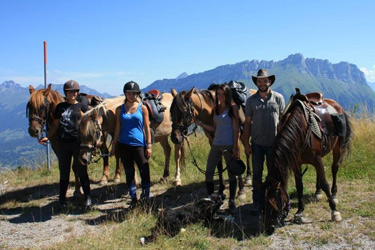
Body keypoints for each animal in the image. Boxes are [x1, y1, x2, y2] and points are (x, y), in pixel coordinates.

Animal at [262, 90, 354, 234]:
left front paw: (334, 211)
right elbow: (299, 186)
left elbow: (325, 183)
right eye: (264, 203)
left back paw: (334, 194)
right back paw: (317, 192)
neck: (301, 128)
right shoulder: (296, 163)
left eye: (275, 202)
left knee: (334, 168)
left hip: (338, 147)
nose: (268, 228)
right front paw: (299, 212)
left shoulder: (316, 159)